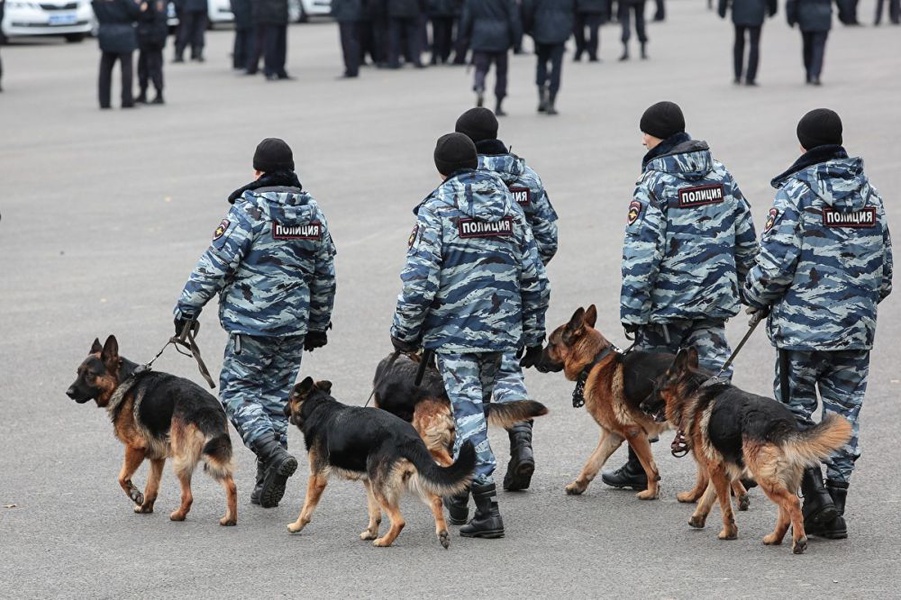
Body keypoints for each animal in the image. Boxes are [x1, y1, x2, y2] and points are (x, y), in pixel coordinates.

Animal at [65, 336, 239, 528]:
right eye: (78, 372)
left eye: (89, 374)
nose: (68, 392)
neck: (124, 382)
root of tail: (206, 409)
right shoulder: (157, 457)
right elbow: (152, 485)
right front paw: (145, 506)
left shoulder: (135, 447)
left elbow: (122, 477)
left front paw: (135, 494)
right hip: (213, 457)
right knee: (231, 486)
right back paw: (230, 518)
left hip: (181, 460)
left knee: (188, 496)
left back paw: (179, 515)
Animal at [286, 378, 478, 552]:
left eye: (289, 398)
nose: (283, 410)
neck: (319, 407)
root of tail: (409, 437)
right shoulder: (368, 481)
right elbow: (374, 512)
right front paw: (371, 532)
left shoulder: (317, 476)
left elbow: (307, 505)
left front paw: (297, 525)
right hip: (404, 480)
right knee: (435, 500)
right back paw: (442, 533)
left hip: (383, 487)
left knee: (399, 520)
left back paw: (385, 541)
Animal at [640, 346, 852, 552]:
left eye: (656, 388)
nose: (642, 405)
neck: (694, 390)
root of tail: (781, 424)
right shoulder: (720, 468)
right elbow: (710, 495)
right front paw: (698, 517)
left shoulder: (714, 467)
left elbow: (724, 504)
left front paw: (729, 532)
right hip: (784, 478)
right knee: (785, 510)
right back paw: (775, 538)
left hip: (765, 477)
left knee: (792, 503)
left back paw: (799, 540)